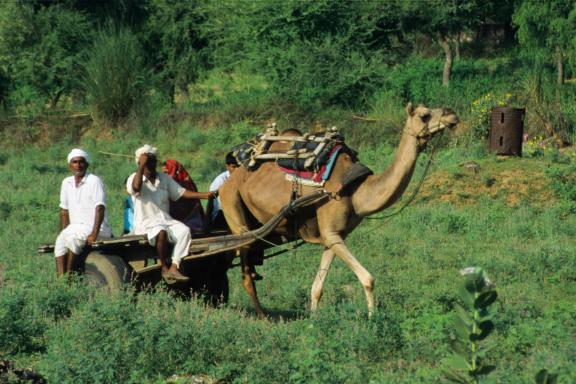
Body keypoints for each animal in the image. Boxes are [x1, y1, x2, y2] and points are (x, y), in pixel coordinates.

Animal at [219, 103, 460, 316]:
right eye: (424, 115)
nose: (452, 114)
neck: (356, 190)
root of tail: (228, 181)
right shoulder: (331, 229)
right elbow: (369, 279)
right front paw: (373, 320)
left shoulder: (334, 235)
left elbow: (317, 288)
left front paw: (314, 322)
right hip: (234, 207)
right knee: (245, 271)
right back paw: (263, 316)